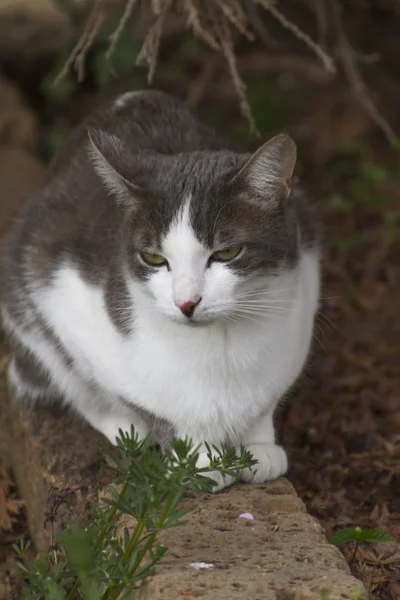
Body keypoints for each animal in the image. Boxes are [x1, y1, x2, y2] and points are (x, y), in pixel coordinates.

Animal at [0, 90, 318, 492]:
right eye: (153, 257)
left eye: (227, 252)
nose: (187, 302)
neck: (222, 346)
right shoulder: (63, 295)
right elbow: (149, 400)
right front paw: (197, 459)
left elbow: (266, 397)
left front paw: (259, 447)